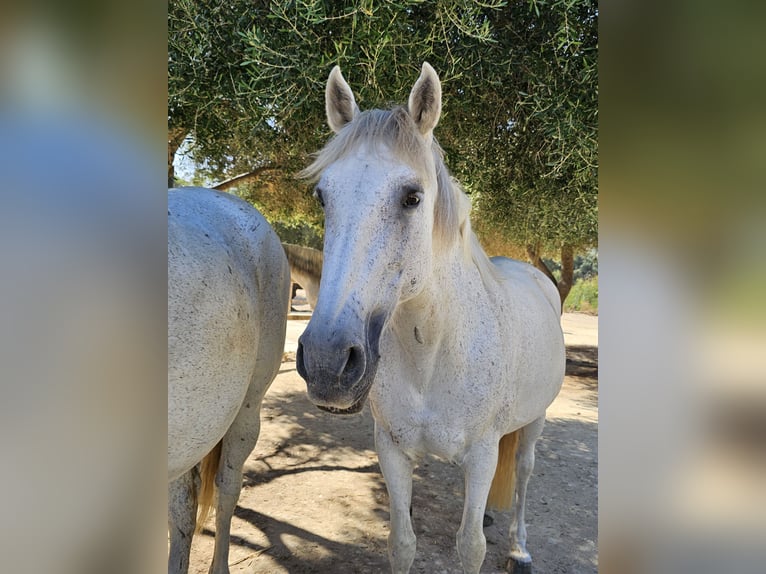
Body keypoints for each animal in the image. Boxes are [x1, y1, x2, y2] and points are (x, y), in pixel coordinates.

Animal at [296, 64, 568, 574]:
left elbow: (470, 548)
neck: (434, 353)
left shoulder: (481, 456)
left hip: (534, 421)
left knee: (524, 472)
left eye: (412, 197)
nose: (326, 362)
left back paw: (519, 548)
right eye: (323, 197)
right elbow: (402, 542)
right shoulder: (392, 450)